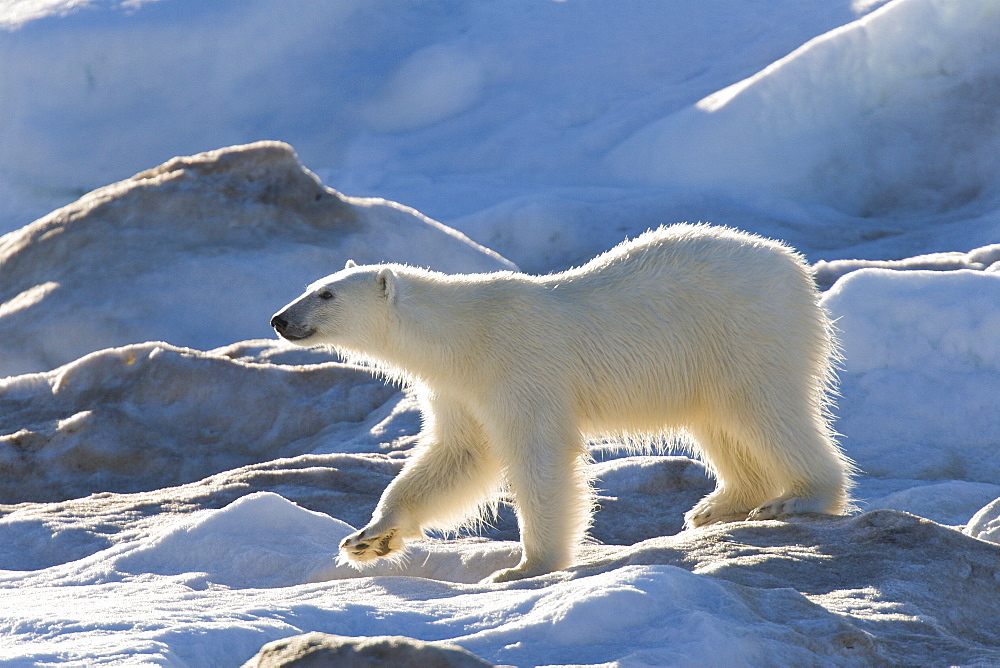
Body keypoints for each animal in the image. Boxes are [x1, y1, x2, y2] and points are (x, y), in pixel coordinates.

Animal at [272, 223, 852, 580]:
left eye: (326, 294)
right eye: (313, 283)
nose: (279, 319)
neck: (463, 335)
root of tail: (794, 267)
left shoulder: (520, 366)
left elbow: (538, 457)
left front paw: (526, 566)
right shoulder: (461, 389)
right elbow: (458, 455)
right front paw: (368, 539)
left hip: (746, 333)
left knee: (767, 410)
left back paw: (797, 498)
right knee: (718, 424)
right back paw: (717, 505)